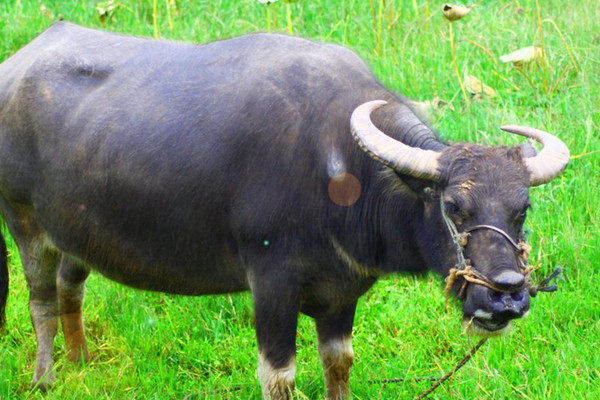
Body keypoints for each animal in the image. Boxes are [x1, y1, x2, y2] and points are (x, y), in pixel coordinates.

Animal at [0, 22, 568, 400]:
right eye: (452, 205)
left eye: (522, 208)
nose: (506, 298)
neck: (338, 168)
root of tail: (17, 65)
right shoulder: (271, 283)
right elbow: (279, 377)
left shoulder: (340, 293)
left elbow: (339, 363)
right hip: (24, 222)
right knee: (41, 299)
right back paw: (46, 377)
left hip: (75, 231)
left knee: (71, 286)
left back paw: (81, 362)